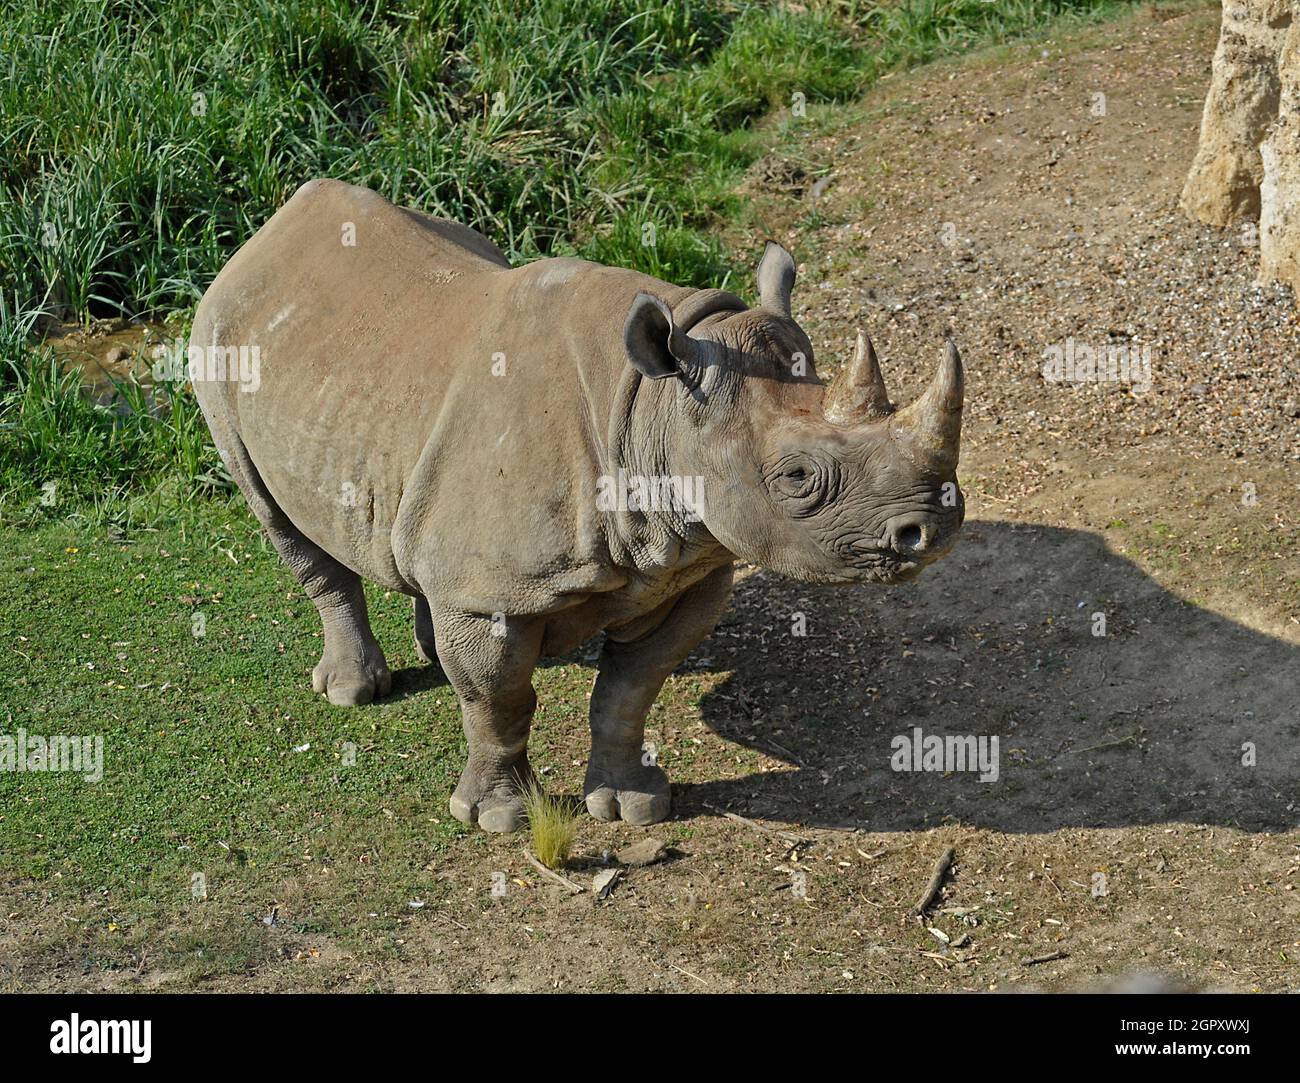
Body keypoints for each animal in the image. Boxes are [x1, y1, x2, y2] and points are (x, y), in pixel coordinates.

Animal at [192, 182, 967, 832]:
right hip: (217, 345)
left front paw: (633, 807)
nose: (933, 526)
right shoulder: (498, 597)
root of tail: (274, 227)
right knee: (282, 521)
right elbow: (500, 703)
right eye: (799, 477)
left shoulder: (689, 566)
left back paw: (426, 637)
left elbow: (627, 692)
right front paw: (497, 818)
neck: (657, 408)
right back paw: (354, 690)